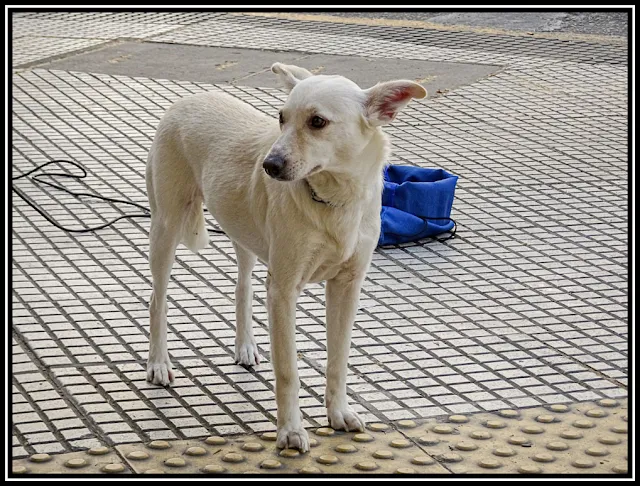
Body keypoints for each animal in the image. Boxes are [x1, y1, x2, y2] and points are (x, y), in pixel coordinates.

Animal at [144, 63, 424, 452]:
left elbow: (339, 359)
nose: (269, 166)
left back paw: (245, 346)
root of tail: (188, 99)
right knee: (158, 299)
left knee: (243, 288)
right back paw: (158, 363)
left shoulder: (346, 286)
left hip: (244, 234)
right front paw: (291, 431)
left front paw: (338, 413)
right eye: (281, 118)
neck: (332, 201)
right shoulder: (284, 290)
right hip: (166, 226)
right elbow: (289, 370)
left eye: (318, 122)